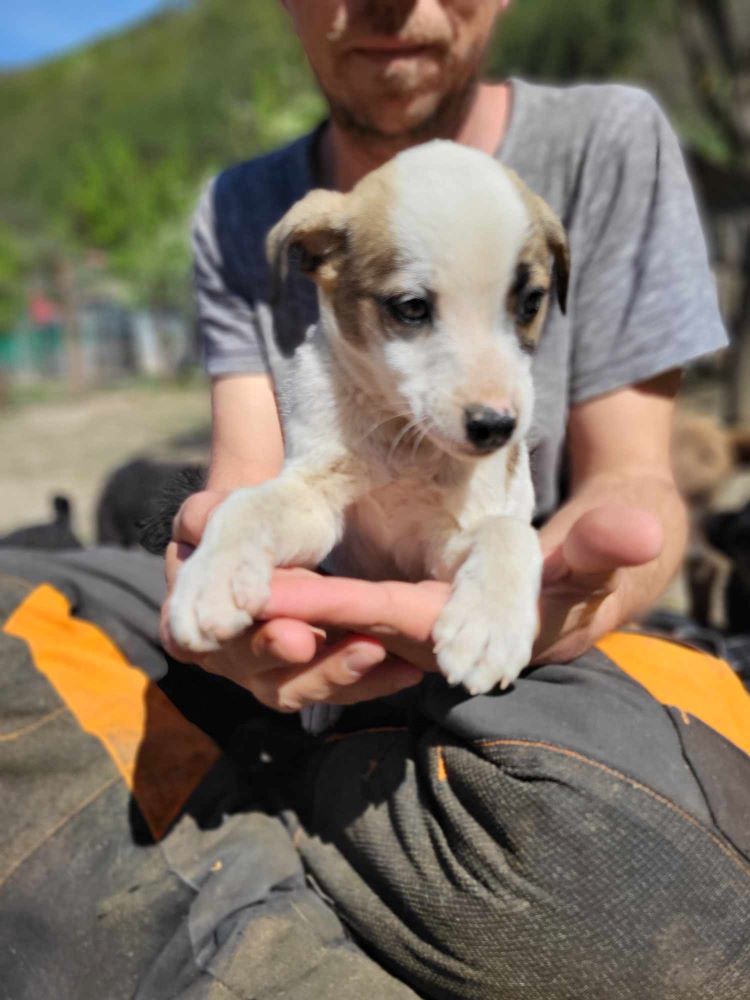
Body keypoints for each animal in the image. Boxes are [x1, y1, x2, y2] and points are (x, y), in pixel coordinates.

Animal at [170, 141, 568, 696]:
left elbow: (509, 533)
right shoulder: (317, 502)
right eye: (412, 307)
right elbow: (246, 506)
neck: (403, 436)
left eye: (532, 302)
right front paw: (213, 579)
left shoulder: (450, 540)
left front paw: (489, 627)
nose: (496, 426)